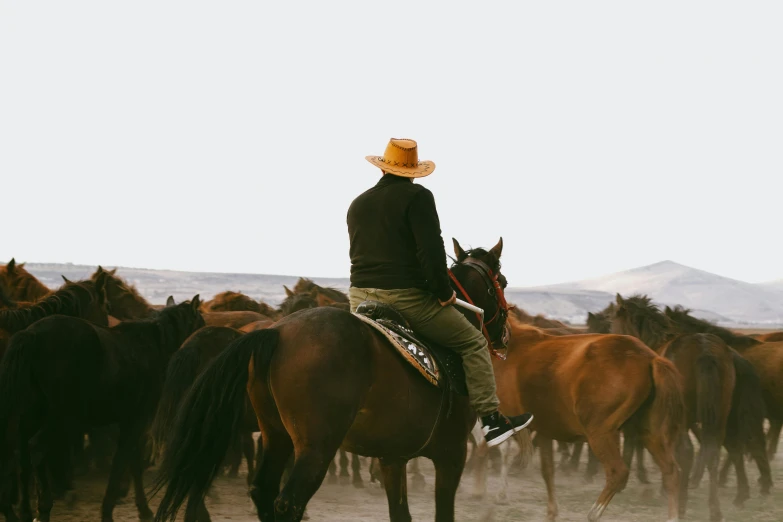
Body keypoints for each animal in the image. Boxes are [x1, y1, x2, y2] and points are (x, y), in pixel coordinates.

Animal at [152, 239, 508, 520]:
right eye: (502, 281)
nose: (504, 335)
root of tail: (276, 333)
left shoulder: (393, 458)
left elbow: (400, 513)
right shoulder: (451, 455)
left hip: (276, 435)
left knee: (262, 491)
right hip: (314, 447)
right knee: (287, 503)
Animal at [490, 312, 688, 520]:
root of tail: (651, 358)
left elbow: (503, 451)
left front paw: (500, 494)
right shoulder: (544, 429)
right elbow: (547, 470)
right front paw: (551, 512)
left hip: (600, 433)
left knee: (618, 473)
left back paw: (593, 513)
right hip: (650, 433)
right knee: (671, 472)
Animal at [616, 294, 740, 516]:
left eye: (615, 317)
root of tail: (705, 350)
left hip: (684, 417)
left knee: (686, 451)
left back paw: (681, 504)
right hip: (719, 414)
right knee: (713, 452)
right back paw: (714, 510)